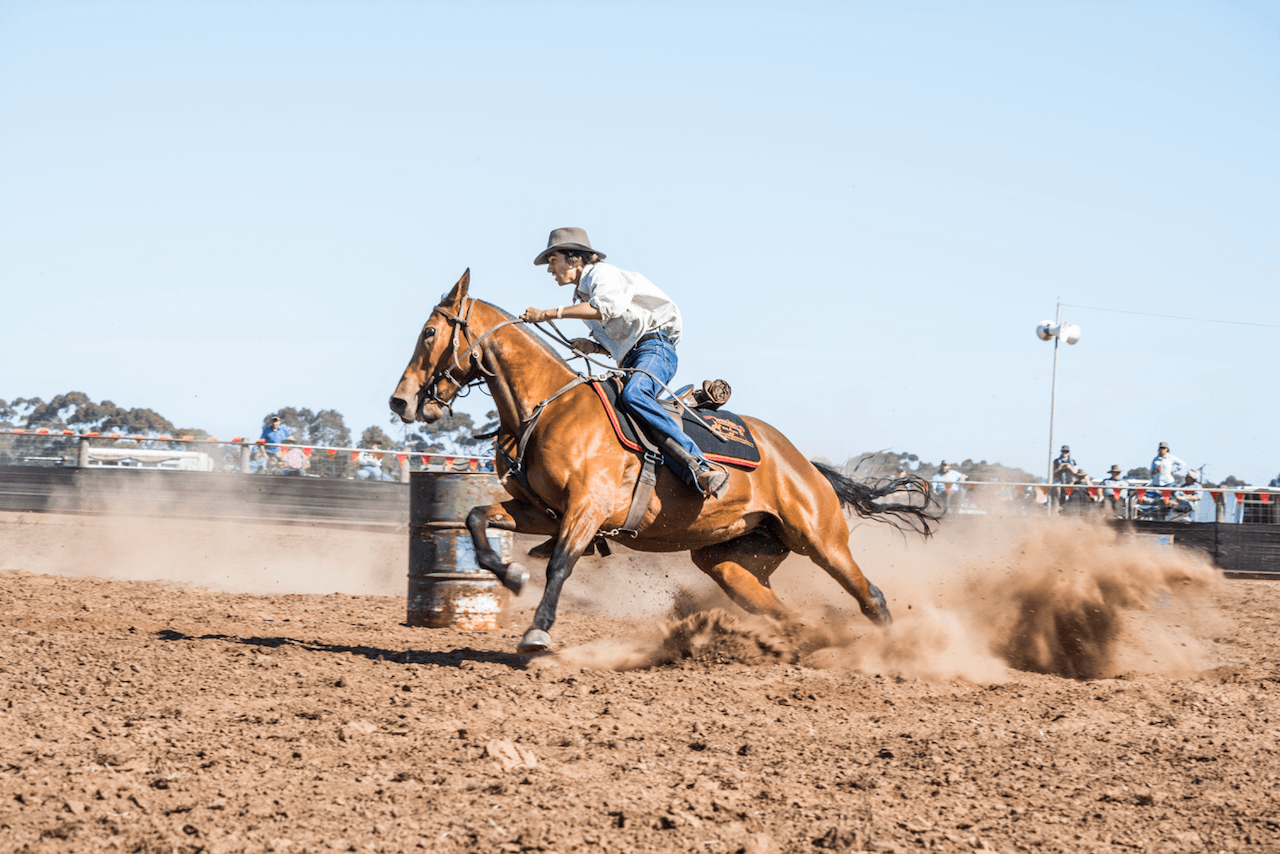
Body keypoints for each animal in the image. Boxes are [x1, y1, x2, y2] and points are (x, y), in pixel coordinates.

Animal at [389, 270, 937, 654]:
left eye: (429, 332)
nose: (401, 402)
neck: (549, 408)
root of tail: (803, 464)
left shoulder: (586, 509)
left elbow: (561, 566)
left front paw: (537, 634)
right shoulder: (540, 512)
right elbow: (475, 519)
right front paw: (511, 576)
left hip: (820, 539)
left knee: (871, 596)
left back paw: (892, 652)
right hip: (731, 561)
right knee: (780, 610)